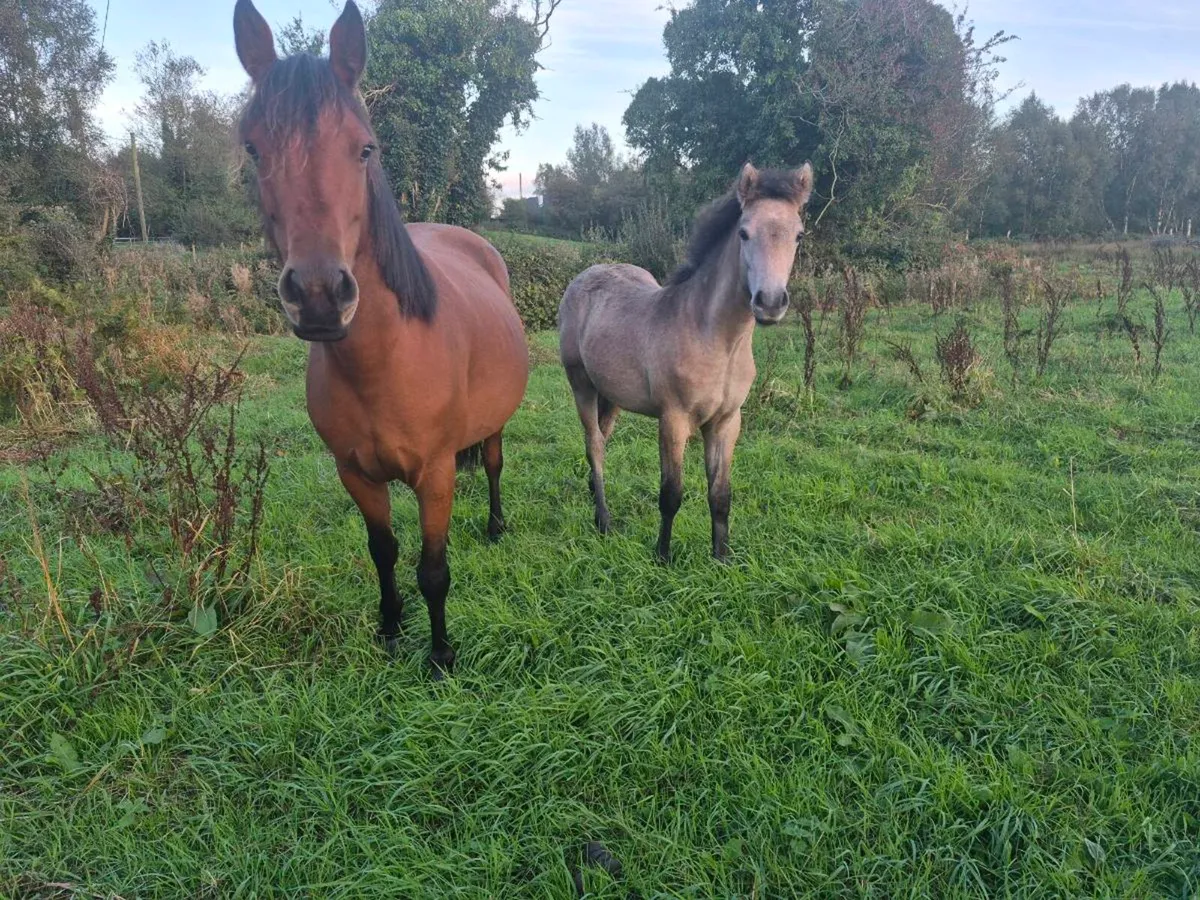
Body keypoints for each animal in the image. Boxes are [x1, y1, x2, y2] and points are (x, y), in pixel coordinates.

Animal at [233, 0, 529, 676]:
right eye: (254, 150)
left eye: (365, 148)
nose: (319, 292)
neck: (383, 361)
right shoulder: (356, 475)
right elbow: (385, 552)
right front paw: (391, 629)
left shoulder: (436, 475)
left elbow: (434, 569)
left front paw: (441, 653)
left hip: (494, 427)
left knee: (493, 463)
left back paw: (496, 526)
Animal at [558, 162, 813, 563]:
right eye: (743, 232)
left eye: (799, 235)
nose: (770, 302)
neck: (716, 340)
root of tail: (584, 276)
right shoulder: (673, 420)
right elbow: (671, 493)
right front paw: (662, 557)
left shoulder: (726, 422)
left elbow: (721, 494)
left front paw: (722, 558)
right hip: (580, 383)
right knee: (595, 444)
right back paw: (604, 521)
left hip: (611, 394)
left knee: (602, 437)